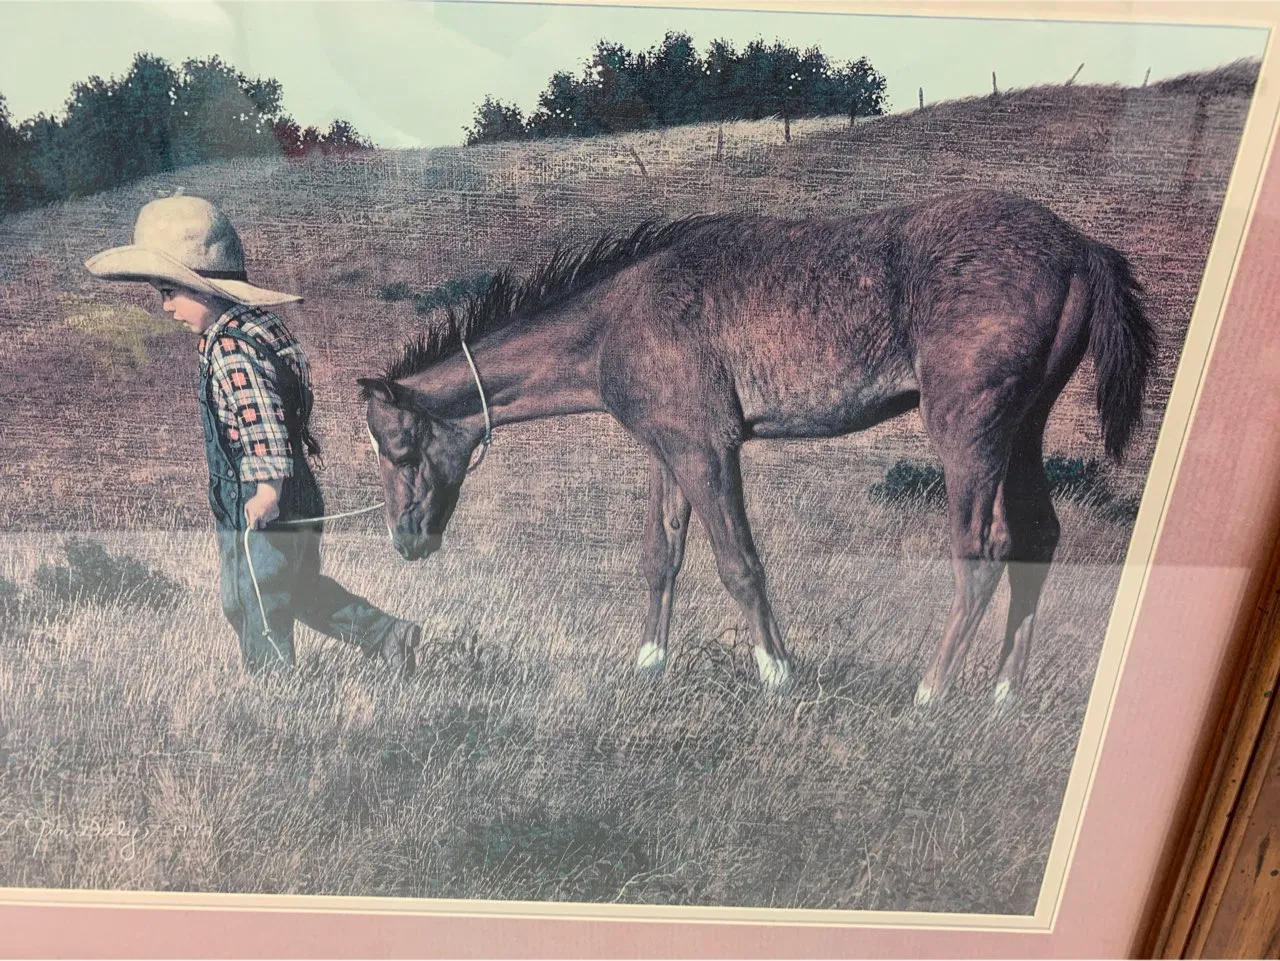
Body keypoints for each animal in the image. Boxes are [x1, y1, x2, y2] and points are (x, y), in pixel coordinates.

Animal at [357, 189, 1153, 707]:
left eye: (398, 448)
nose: (405, 539)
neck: (618, 317)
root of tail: (1080, 245)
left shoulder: (708, 448)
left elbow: (738, 562)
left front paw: (778, 672)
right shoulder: (668, 448)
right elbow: (661, 555)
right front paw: (649, 664)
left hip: (969, 427)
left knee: (984, 550)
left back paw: (929, 694)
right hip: (1025, 426)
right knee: (1039, 538)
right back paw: (1002, 695)